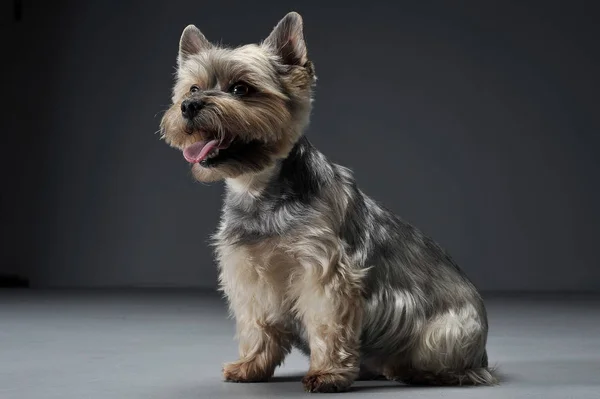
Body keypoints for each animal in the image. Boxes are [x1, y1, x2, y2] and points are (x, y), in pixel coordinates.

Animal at [161, 10, 496, 392]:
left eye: (240, 89)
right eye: (192, 88)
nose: (189, 105)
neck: (261, 191)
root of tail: (483, 356)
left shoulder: (325, 274)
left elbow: (327, 325)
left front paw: (327, 374)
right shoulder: (250, 273)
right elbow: (257, 325)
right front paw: (251, 365)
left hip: (446, 332)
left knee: (452, 367)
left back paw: (413, 371)